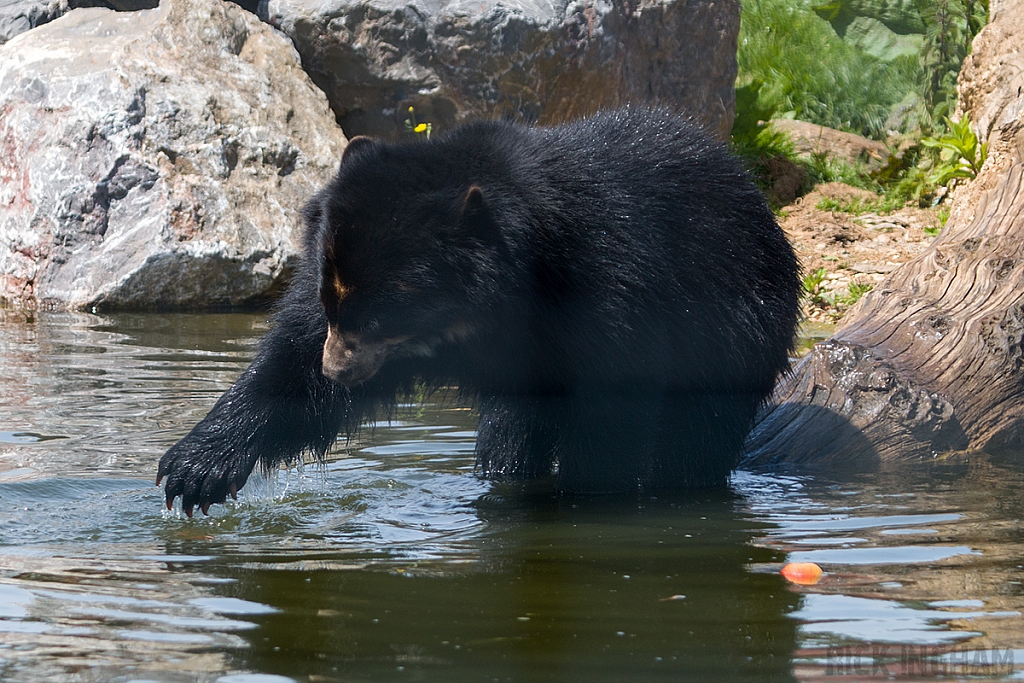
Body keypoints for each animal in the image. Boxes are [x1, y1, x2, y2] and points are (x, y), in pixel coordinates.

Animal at [157, 108, 798, 511]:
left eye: (381, 317)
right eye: (332, 298)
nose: (335, 369)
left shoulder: (611, 296)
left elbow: (611, 410)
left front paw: (584, 499)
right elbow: (290, 365)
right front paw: (192, 470)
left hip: (734, 330)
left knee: (694, 433)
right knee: (512, 430)